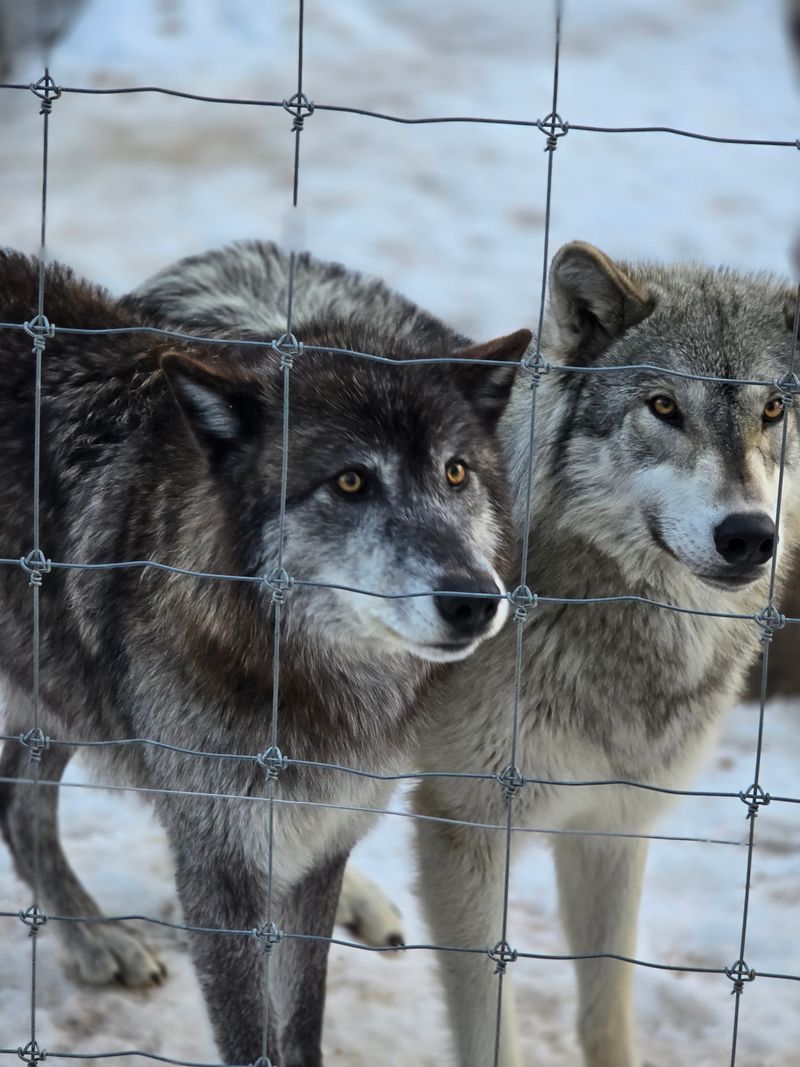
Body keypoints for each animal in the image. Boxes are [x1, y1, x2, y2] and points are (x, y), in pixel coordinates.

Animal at [0, 245, 531, 1066]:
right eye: (351, 480)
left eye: (455, 471)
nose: (475, 600)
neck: (299, 674)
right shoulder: (219, 868)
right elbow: (253, 1036)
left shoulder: (324, 839)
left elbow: (301, 1019)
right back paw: (95, 939)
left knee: (17, 800)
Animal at [412, 241, 800, 1067]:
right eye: (663, 407)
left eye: (773, 410)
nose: (749, 534)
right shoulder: (464, 827)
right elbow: (490, 1030)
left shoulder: (613, 824)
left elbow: (607, 1010)